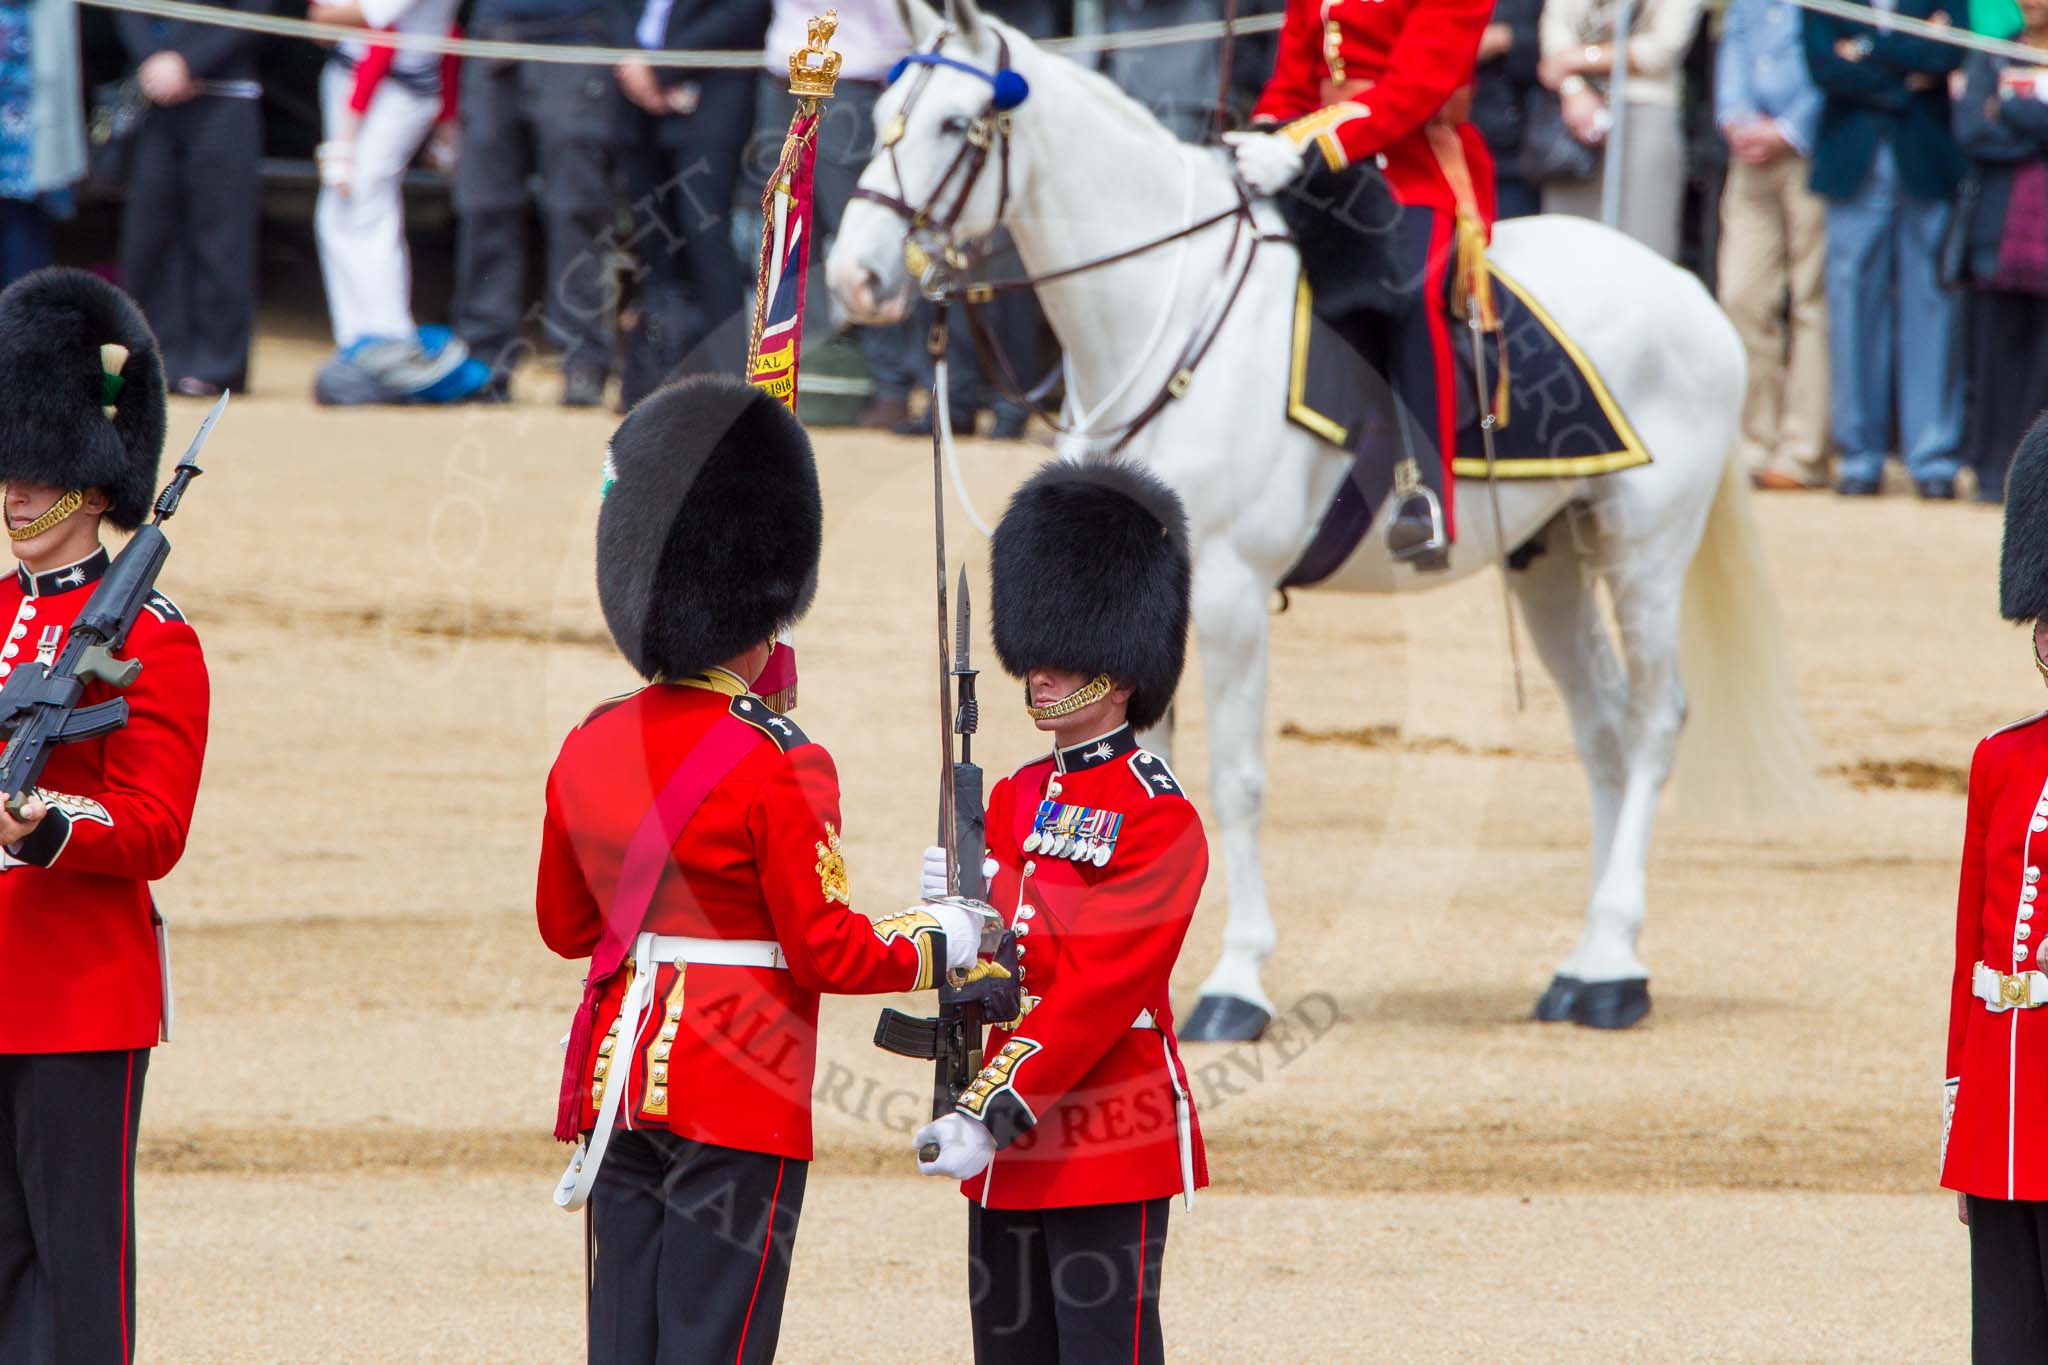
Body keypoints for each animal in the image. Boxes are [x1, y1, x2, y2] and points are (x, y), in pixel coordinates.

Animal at [823, 0, 1802, 1035]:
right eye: (881, 112)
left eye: (953, 124)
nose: (853, 279)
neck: (1163, 314)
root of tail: (1687, 287)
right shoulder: (1149, 602)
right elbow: (1151, 757)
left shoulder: (1230, 594)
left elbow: (1237, 781)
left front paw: (1233, 982)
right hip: (1553, 560)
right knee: (1604, 729)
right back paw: (1587, 962)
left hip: (1642, 548)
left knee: (1653, 722)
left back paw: (1615, 966)